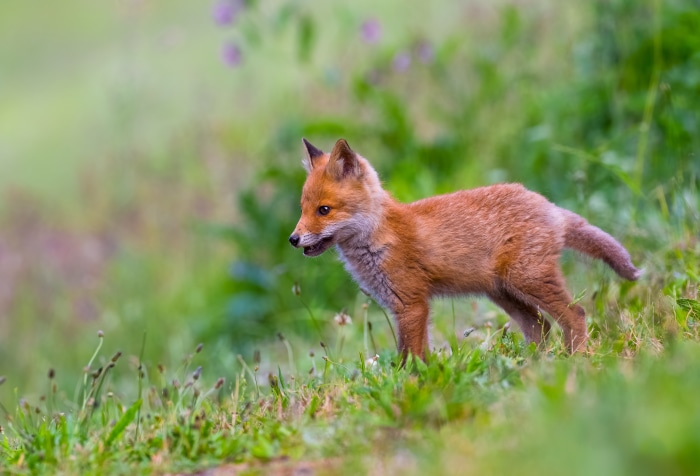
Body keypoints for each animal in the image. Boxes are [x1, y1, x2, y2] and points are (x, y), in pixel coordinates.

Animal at [289, 138, 640, 360]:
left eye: (324, 210)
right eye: (302, 209)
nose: (293, 239)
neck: (381, 237)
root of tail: (548, 205)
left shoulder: (412, 304)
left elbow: (408, 356)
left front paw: (410, 386)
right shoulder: (408, 307)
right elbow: (419, 354)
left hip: (527, 280)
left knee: (575, 315)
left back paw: (574, 359)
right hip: (504, 292)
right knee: (541, 327)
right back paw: (533, 365)